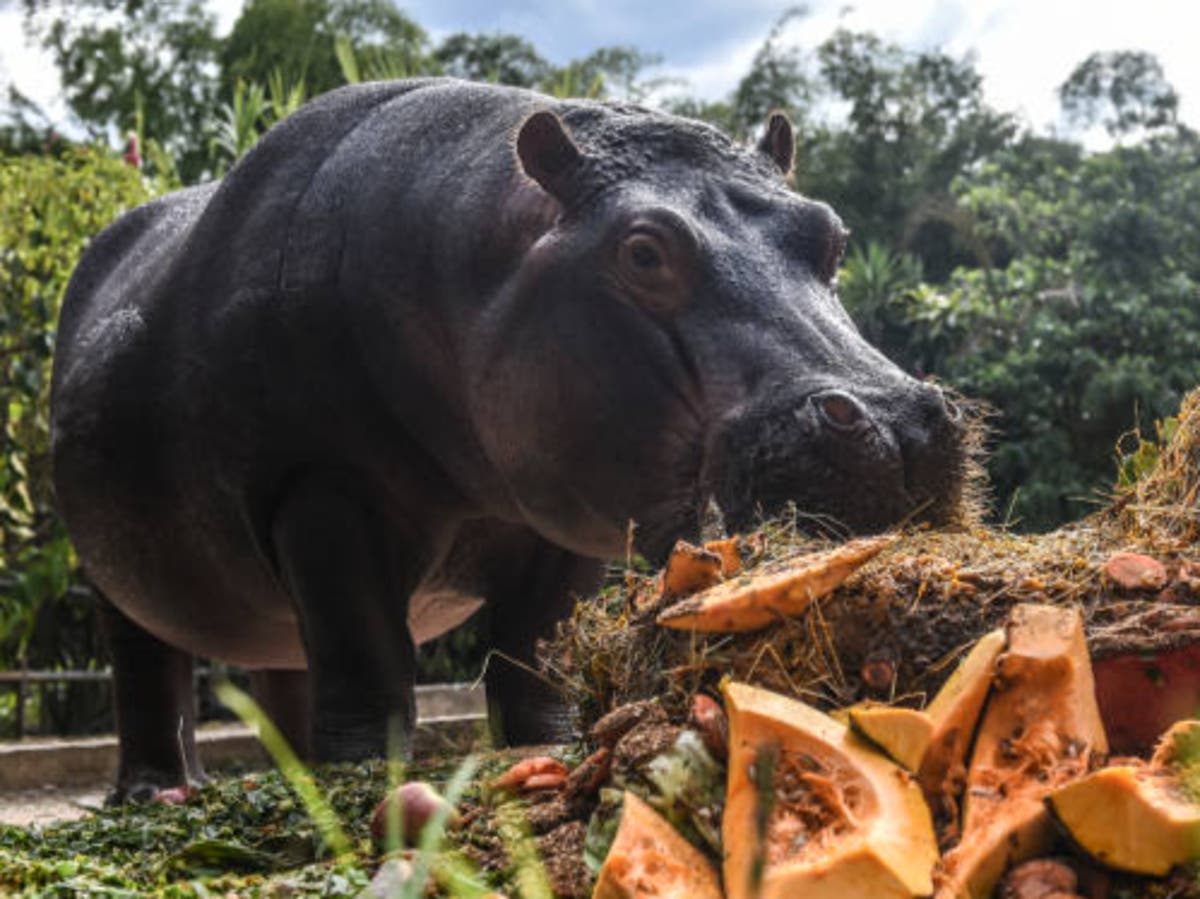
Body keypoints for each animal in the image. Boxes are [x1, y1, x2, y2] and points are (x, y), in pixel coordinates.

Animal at [51, 78, 964, 801]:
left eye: (832, 235)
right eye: (642, 250)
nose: (896, 423)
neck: (476, 251)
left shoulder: (561, 514)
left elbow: (532, 648)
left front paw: (547, 745)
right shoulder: (321, 487)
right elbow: (367, 651)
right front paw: (367, 775)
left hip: (263, 603)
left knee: (282, 662)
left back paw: (295, 777)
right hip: (112, 574)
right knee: (150, 666)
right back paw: (156, 792)